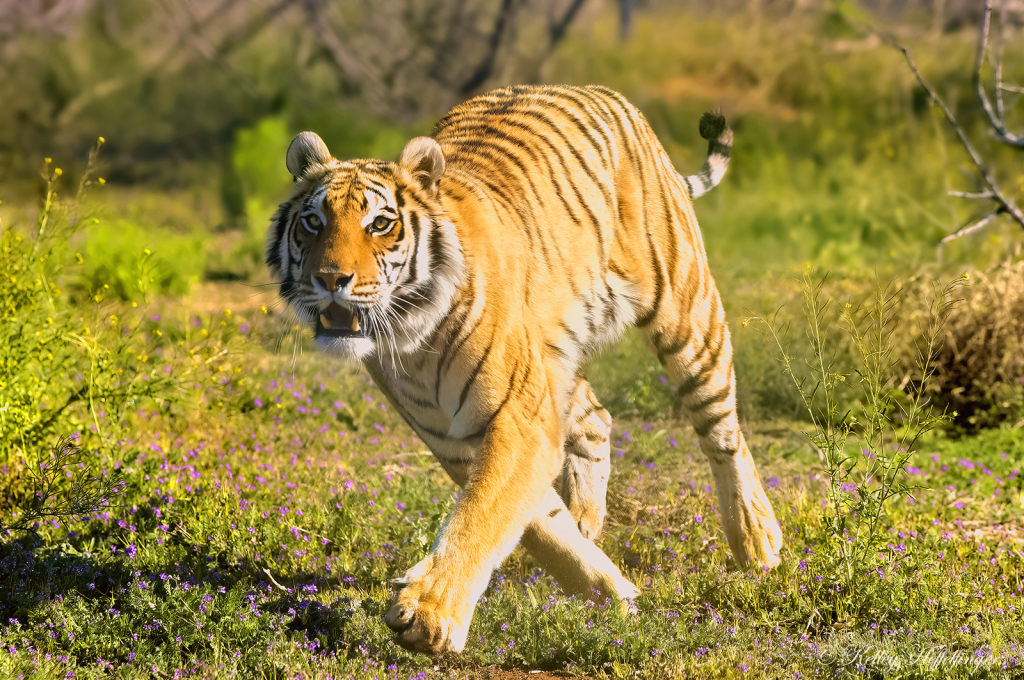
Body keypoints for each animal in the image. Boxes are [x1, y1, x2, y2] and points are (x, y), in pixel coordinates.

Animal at [266, 83, 782, 655]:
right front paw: (609, 592)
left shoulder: (517, 417)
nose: (331, 278)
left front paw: (430, 613)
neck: (409, 337)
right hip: (555, 361)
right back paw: (588, 520)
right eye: (313, 223)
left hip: (686, 314)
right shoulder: (458, 435)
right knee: (597, 420)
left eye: (380, 224)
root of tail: (604, 93)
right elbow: (537, 524)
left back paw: (757, 543)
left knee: (723, 431)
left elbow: (483, 514)